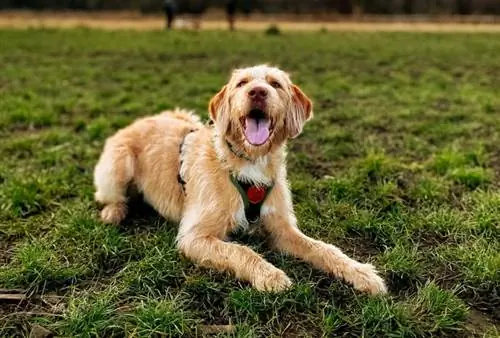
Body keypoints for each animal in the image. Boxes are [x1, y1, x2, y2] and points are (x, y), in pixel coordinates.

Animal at [94, 64, 386, 294]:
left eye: (275, 84)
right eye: (242, 83)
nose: (257, 92)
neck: (249, 162)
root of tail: (143, 119)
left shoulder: (282, 228)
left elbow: (323, 248)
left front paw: (361, 273)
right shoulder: (194, 236)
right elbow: (239, 250)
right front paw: (270, 274)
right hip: (119, 163)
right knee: (110, 195)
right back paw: (114, 212)